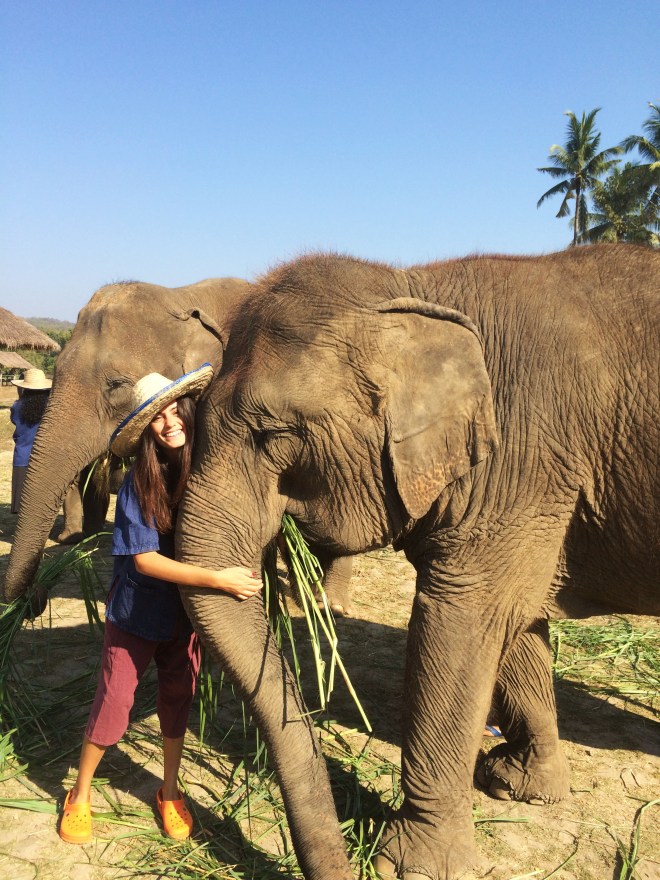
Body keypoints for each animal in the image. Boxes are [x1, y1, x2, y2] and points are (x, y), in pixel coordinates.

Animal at [170, 243, 658, 880]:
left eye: (273, 435)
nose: (344, 862)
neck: (414, 287)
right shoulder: (533, 483)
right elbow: (519, 618)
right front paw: (521, 786)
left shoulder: (523, 460)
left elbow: (462, 618)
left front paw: (407, 863)